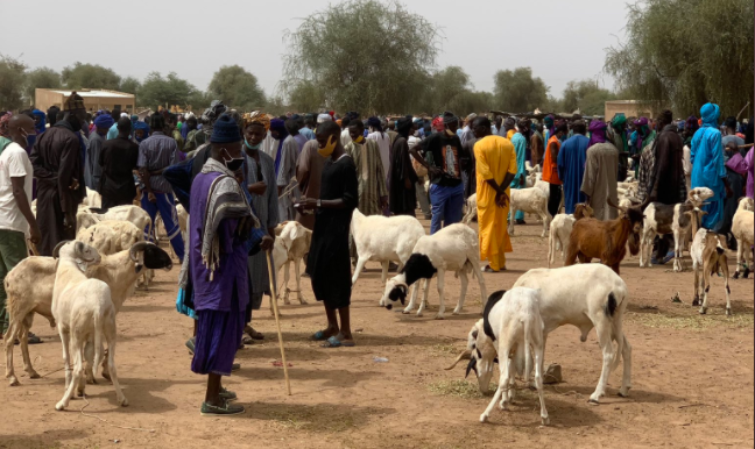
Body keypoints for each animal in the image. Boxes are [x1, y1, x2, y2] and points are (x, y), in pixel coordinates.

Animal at [51, 242, 127, 410]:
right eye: (87, 250)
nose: (99, 257)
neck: (68, 267)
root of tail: (97, 303)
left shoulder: (62, 328)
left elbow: (67, 358)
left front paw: (70, 390)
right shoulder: (89, 335)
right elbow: (88, 355)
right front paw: (81, 389)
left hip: (76, 334)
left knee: (78, 368)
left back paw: (62, 403)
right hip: (109, 329)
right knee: (111, 365)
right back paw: (122, 399)